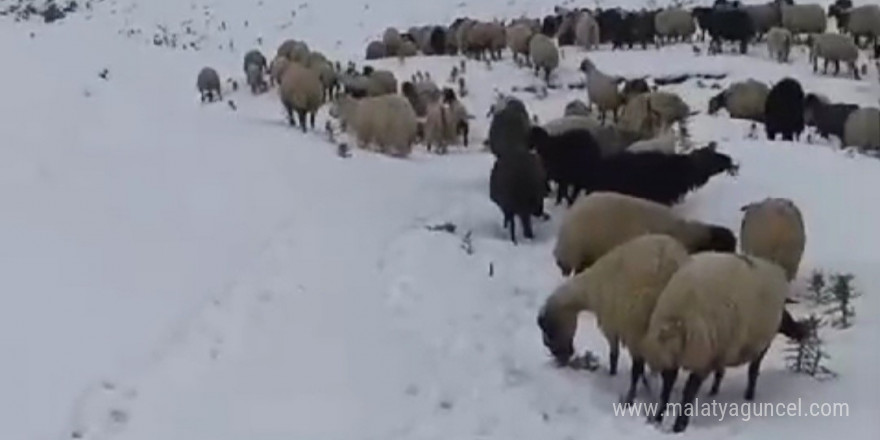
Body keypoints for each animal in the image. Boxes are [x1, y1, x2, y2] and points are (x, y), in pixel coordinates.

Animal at [532, 235, 692, 404]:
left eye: (549, 330)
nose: (561, 358)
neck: (590, 289)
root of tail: (671, 265)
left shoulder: (611, 325)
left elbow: (614, 354)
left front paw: (612, 374)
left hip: (639, 327)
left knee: (644, 369)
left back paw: (632, 397)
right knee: (669, 373)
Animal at [640, 251, 792, 434]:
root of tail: (776, 268)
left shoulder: (701, 359)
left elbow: (687, 392)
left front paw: (679, 426)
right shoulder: (688, 358)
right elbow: (669, 389)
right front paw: (660, 419)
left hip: (757, 344)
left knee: (753, 370)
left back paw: (748, 396)